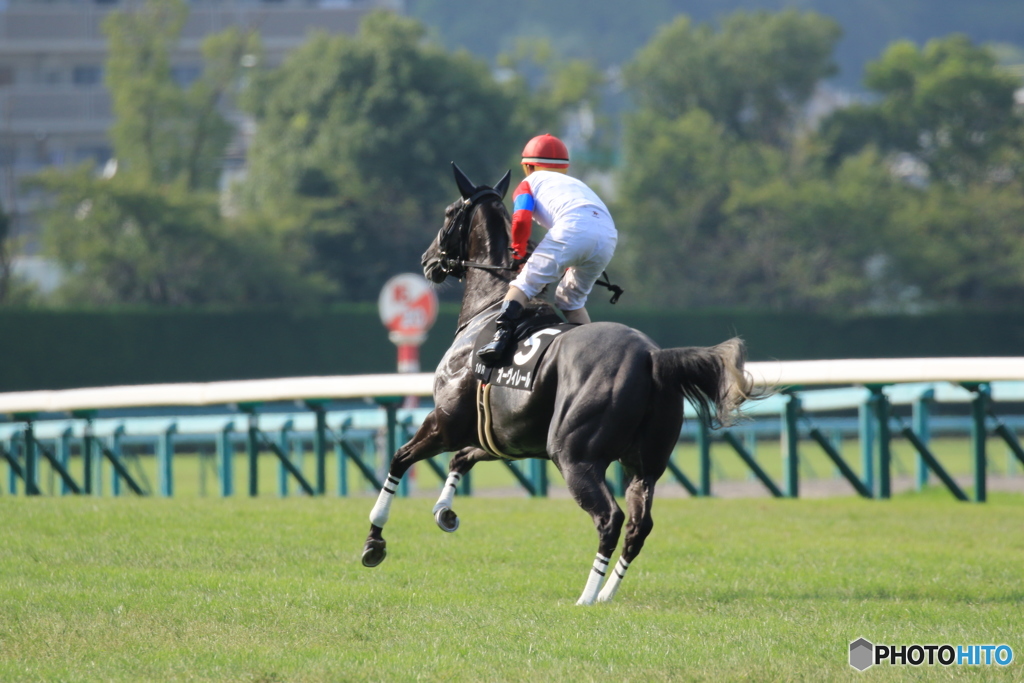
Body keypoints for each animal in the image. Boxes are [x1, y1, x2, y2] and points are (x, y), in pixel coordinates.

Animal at [361, 163, 753, 605]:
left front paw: (374, 541)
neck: (488, 309)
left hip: (574, 455)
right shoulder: (505, 437)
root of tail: (653, 358)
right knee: (639, 525)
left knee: (610, 518)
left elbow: (399, 459)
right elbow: (461, 458)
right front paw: (444, 511)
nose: (427, 261)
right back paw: (607, 594)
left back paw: (586, 597)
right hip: (644, 464)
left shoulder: (444, 423)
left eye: (448, 213)